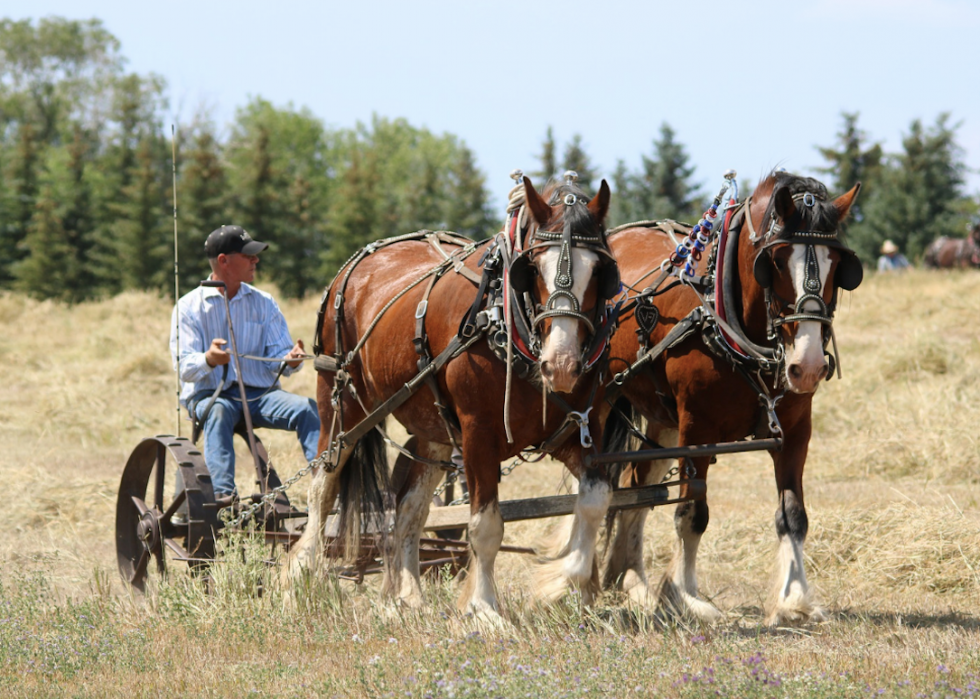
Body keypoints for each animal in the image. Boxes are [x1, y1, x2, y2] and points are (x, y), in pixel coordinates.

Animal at [284, 176, 620, 624]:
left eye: (600, 270)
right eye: (532, 269)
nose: (562, 364)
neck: (506, 319)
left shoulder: (577, 431)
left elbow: (595, 501)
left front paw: (566, 587)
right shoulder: (479, 436)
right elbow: (486, 526)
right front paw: (485, 608)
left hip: (434, 429)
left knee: (411, 506)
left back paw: (406, 594)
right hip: (339, 403)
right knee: (324, 484)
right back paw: (300, 574)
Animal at [592, 172, 860, 628]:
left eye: (838, 265)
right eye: (775, 262)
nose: (806, 366)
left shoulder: (794, 430)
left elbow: (793, 515)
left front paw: (795, 598)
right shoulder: (696, 430)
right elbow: (691, 513)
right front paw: (685, 596)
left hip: (662, 421)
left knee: (637, 485)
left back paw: (630, 579)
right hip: (602, 401)